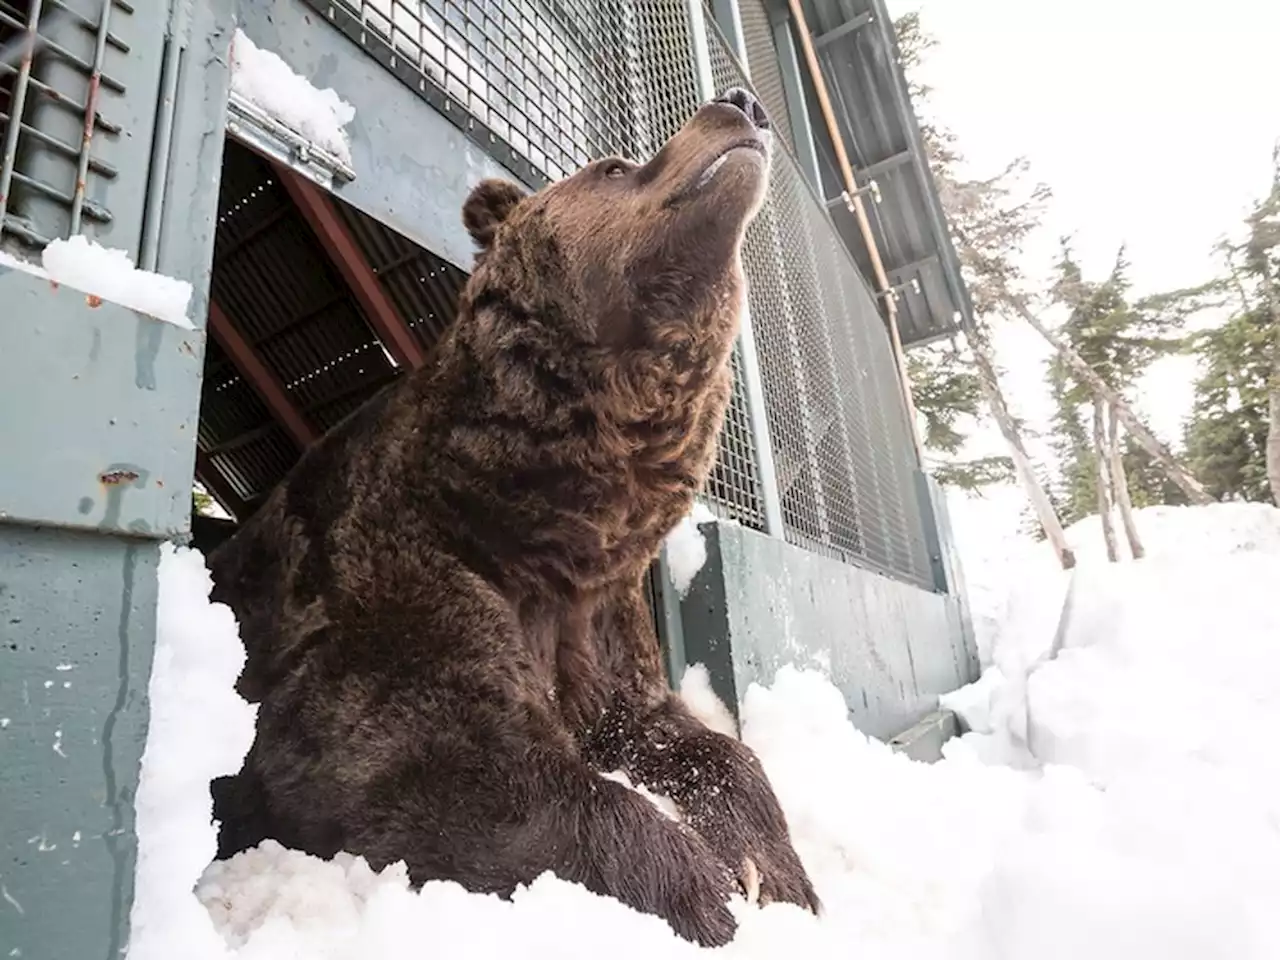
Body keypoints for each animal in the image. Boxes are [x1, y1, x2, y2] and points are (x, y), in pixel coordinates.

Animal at [204, 88, 814, 947]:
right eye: (614, 165)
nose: (740, 104)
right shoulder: (395, 575)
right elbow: (440, 761)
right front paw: (705, 895)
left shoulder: (597, 617)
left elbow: (688, 738)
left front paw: (775, 872)